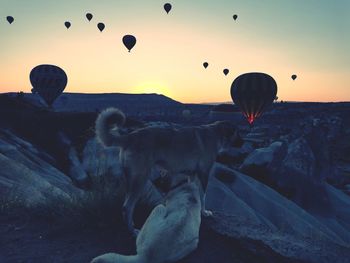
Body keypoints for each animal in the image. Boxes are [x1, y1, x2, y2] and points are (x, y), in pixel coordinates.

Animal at [95, 108, 241, 236]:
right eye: (237, 133)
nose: (242, 141)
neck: (216, 134)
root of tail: (130, 136)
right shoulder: (204, 174)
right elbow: (203, 196)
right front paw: (204, 212)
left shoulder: (192, 175)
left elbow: (194, 194)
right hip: (140, 179)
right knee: (127, 207)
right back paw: (133, 231)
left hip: (131, 180)